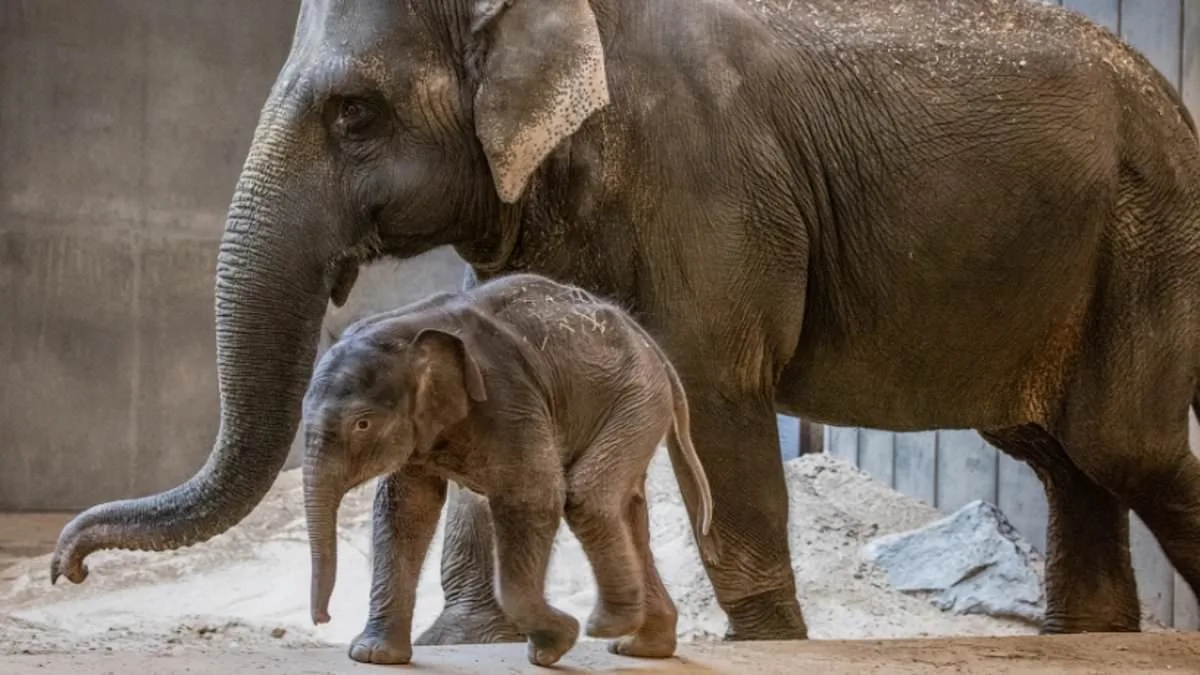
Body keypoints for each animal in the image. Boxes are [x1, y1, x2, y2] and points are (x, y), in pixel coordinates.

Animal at [301, 272, 717, 666]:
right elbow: (405, 510)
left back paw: (606, 627)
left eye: (362, 424)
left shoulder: (508, 397)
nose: (322, 619)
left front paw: (556, 643)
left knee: (588, 498)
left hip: (637, 399)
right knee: (628, 511)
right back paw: (640, 646)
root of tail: (653, 347)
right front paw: (374, 656)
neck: (410, 324)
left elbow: (533, 496)